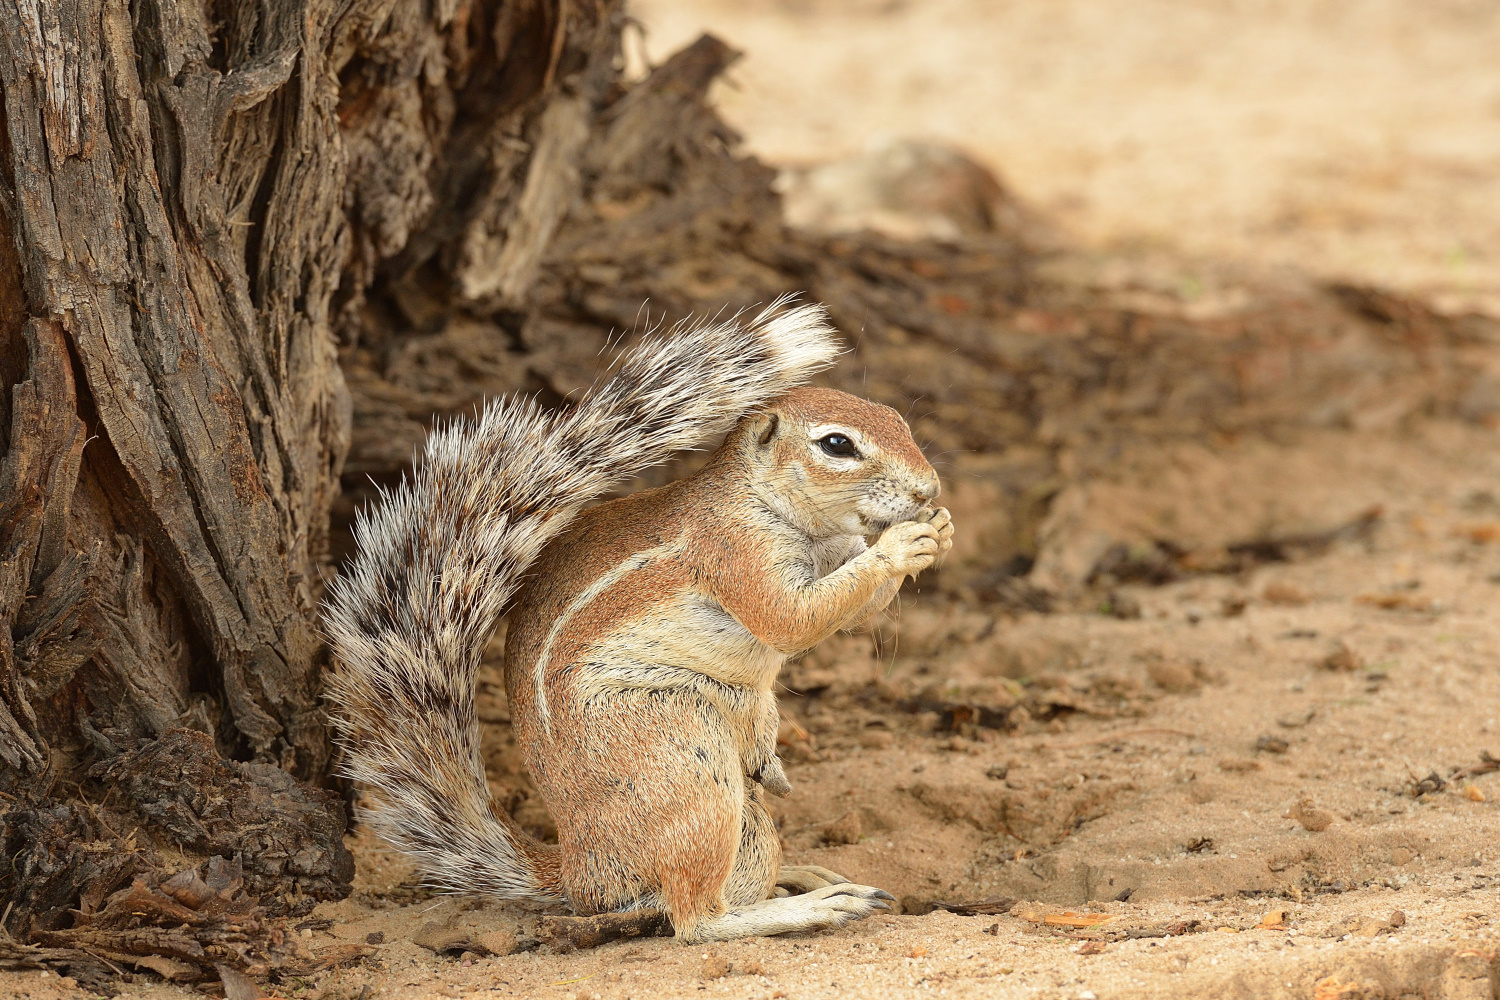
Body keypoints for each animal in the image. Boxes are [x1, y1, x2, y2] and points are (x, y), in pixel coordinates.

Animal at [327, 301, 954, 941]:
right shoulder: (736, 550)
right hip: (682, 759)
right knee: (694, 918)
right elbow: (789, 617)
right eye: (837, 445)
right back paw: (813, 905)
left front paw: (938, 529)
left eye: (897, 419)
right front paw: (902, 544)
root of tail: (577, 869)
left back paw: (797, 874)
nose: (929, 488)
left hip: (740, 812)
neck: (782, 511)